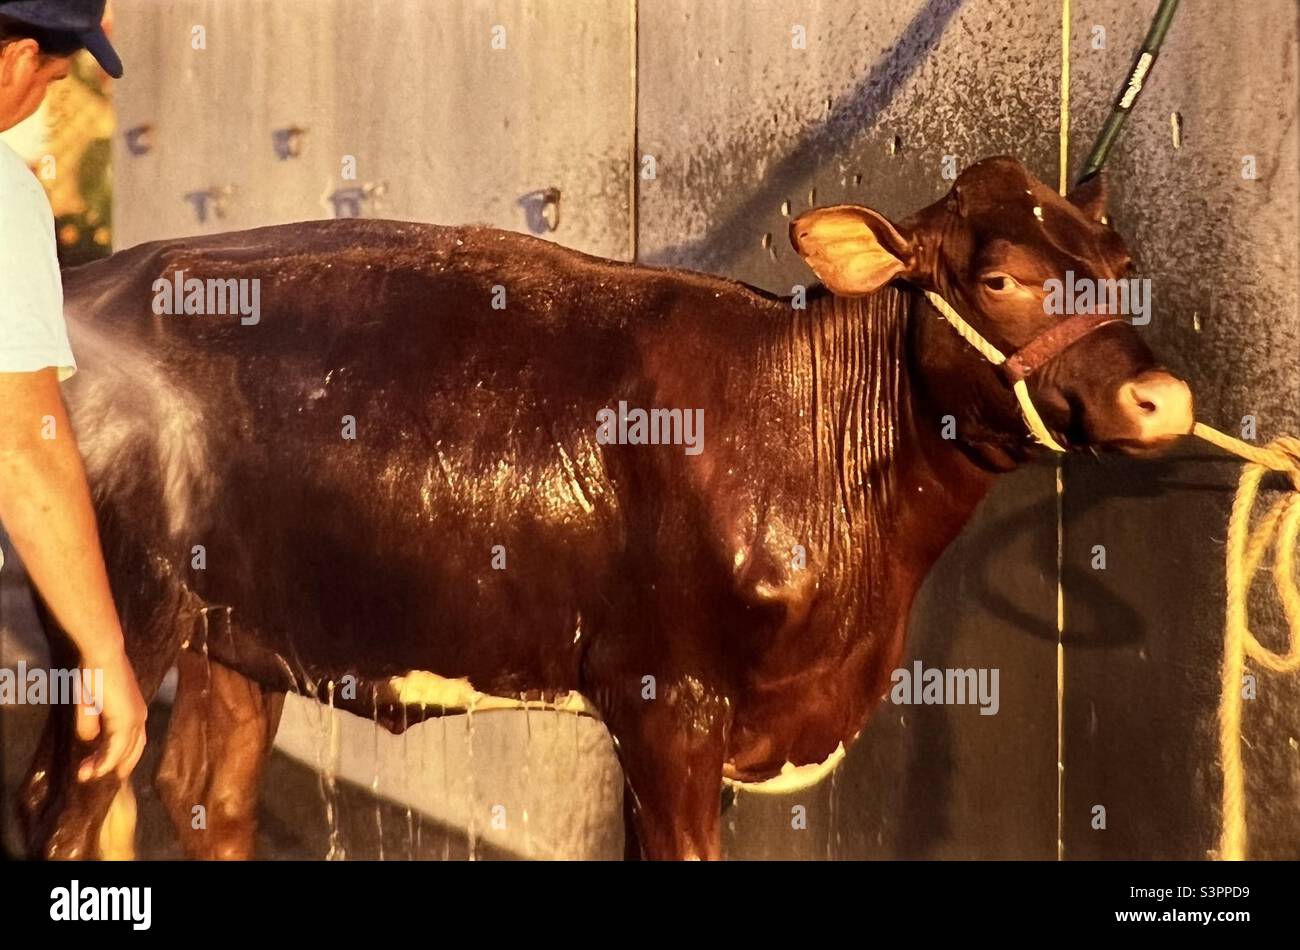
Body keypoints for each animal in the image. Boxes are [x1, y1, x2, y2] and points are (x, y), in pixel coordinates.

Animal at [19, 156, 1193, 860]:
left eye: (1121, 261)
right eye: (999, 279)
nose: (1164, 398)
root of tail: (96, 282)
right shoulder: (667, 701)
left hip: (237, 629)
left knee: (201, 794)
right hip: (114, 623)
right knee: (68, 805)